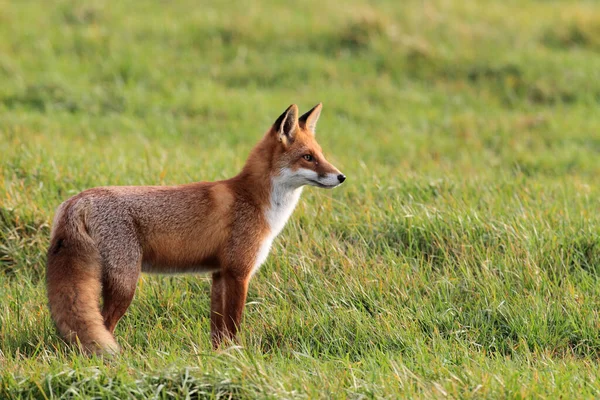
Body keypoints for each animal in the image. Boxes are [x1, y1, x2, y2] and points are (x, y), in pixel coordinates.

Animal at [45, 103, 346, 354]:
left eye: (320, 155)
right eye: (308, 157)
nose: (341, 177)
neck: (254, 200)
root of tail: (76, 200)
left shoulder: (219, 274)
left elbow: (218, 331)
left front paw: (218, 359)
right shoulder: (239, 272)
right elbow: (234, 327)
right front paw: (237, 358)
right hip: (125, 285)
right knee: (105, 327)